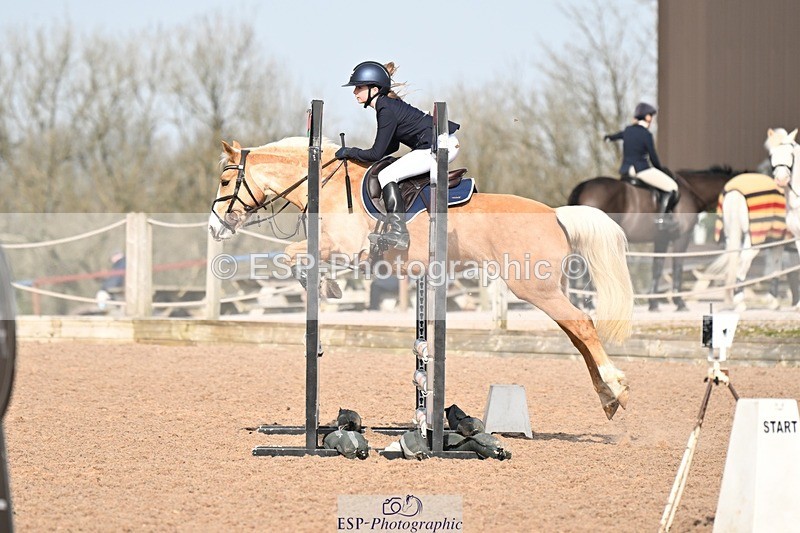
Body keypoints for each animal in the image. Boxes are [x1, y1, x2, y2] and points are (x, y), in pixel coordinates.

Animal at [208, 137, 634, 420]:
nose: (215, 228)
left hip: (534, 288)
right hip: (547, 289)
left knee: (582, 325)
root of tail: (556, 213)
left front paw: (329, 285)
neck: (327, 186)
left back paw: (617, 387)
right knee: (579, 334)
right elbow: (296, 257)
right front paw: (327, 284)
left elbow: (293, 255)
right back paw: (608, 398)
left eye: (226, 183)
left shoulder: (347, 248)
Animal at [567, 167, 737, 311]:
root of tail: (583, 186)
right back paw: (588, 304)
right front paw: (679, 302)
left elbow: (657, 267)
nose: (724, 240)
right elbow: (677, 266)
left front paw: (653, 304)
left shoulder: (661, 239)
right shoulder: (681, 238)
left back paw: (576, 302)